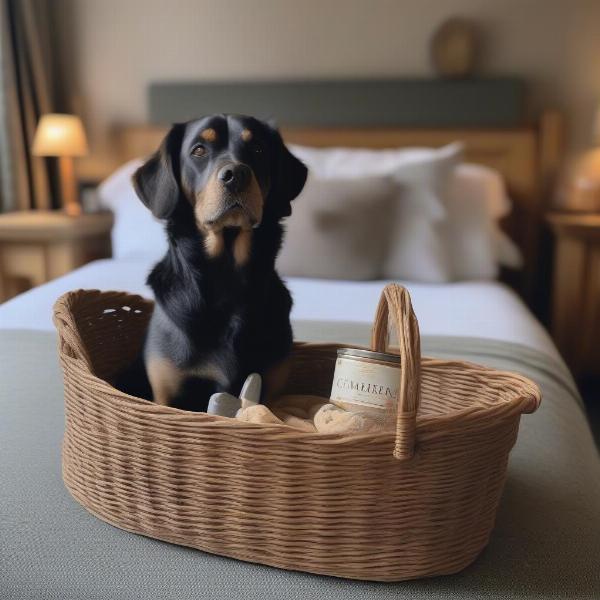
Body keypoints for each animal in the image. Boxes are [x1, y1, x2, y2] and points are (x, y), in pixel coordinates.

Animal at [123, 113, 308, 412]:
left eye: (258, 149)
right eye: (199, 150)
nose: (236, 175)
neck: (226, 274)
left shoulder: (272, 387)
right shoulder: (167, 393)